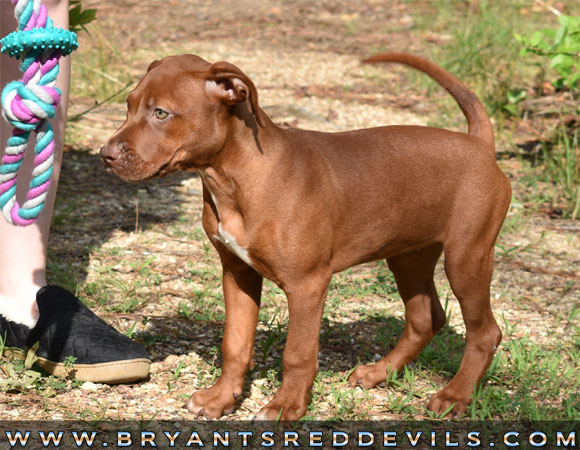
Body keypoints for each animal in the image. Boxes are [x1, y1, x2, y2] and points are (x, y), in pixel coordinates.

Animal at [101, 52, 512, 422]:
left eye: (161, 113)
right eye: (128, 106)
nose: (105, 155)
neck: (237, 178)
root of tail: (479, 143)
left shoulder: (307, 285)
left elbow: (297, 354)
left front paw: (286, 406)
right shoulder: (237, 272)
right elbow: (235, 343)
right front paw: (221, 398)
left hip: (466, 257)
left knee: (485, 332)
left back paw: (454, 395)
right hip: (408, 255)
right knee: (425, 318)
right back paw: (379, 372)